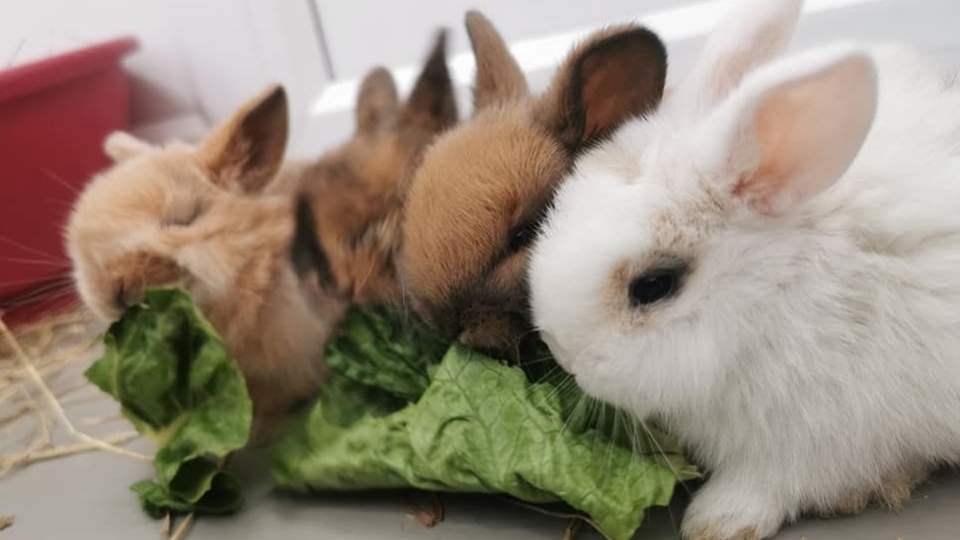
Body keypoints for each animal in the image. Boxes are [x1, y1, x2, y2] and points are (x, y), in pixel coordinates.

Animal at [528, 0, 960, 538]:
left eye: (653, 286)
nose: (560, 351)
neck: (774, 292)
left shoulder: (818, 438)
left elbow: (767, 485)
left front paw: (714, 522)